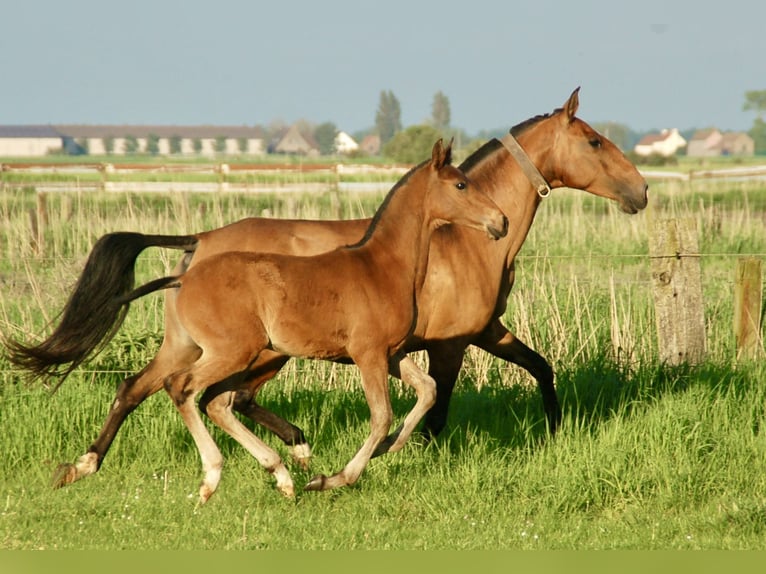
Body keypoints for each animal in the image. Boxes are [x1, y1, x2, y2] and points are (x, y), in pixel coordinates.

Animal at [9, 88, 652, 488]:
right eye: (594, 141)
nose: (641, 191)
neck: (466, 246)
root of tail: (199, 241)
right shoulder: (449, 342)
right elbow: (435, 407)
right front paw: (401, 458)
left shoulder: (476, 333)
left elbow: (536, 368)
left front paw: (555, 430)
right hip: (246, 351)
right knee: (201, 394)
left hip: (212, 347)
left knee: (149, 388)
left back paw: (89, 464)